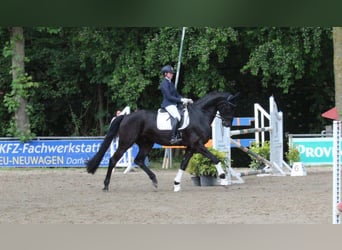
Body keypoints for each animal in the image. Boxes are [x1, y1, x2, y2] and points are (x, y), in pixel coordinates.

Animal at [85, 91, 238, 191]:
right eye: (227, 106)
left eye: (233, 107)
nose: (227, 124)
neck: (200, 115)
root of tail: (126, 117)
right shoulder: (197, 145)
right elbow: (214, 158)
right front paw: (223, 179)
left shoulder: (191, 147)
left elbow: (183, 164)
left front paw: (176, 184)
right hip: (125, 143)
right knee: (113, 160)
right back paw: (106, 185)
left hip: (146, 143)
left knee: (139, 160)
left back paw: (154, 180)